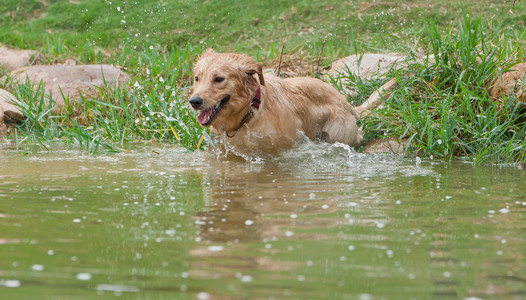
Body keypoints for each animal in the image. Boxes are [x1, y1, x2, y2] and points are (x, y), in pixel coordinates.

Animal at [190, 48, 368, 156]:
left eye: (219, 79)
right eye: (197, 78)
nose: (194, 101)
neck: (250, 113)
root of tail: (347, 103)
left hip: (338, 134)